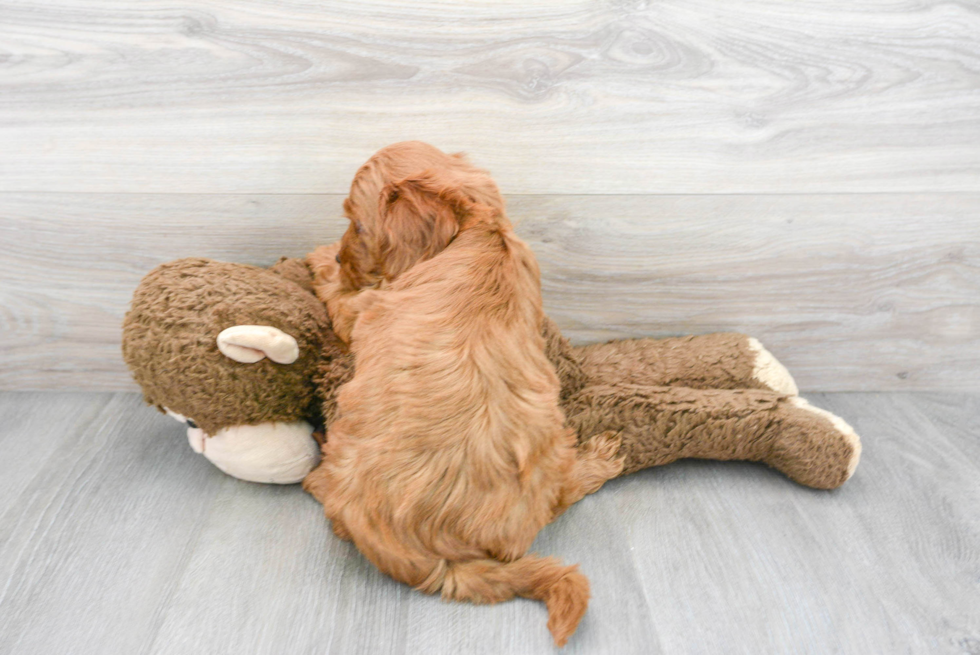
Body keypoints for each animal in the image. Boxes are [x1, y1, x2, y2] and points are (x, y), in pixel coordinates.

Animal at [304, 142, 620, 644]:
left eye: (357, 224)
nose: (339, 258)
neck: (478, 229)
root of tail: (443, 560)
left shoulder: (364, 308)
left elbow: (342, 300)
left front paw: (319, 263)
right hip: (551, 442)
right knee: (560, 494)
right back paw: (599, 460)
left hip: (345, 459)